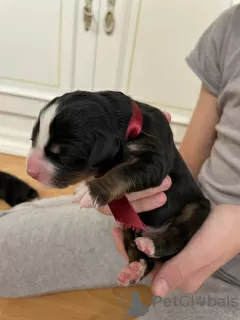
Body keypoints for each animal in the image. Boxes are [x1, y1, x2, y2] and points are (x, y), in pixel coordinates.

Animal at [26, 90, 210, 288]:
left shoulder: (154, 159)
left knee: (178, 234)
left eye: (61, 154)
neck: (130, 129)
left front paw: (92, 190)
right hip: (128, 226)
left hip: (196, 208)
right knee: (138, 252)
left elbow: (121, 172)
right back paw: (135, 269)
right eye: (32, 139)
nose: (30, 171)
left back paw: (151, 245)